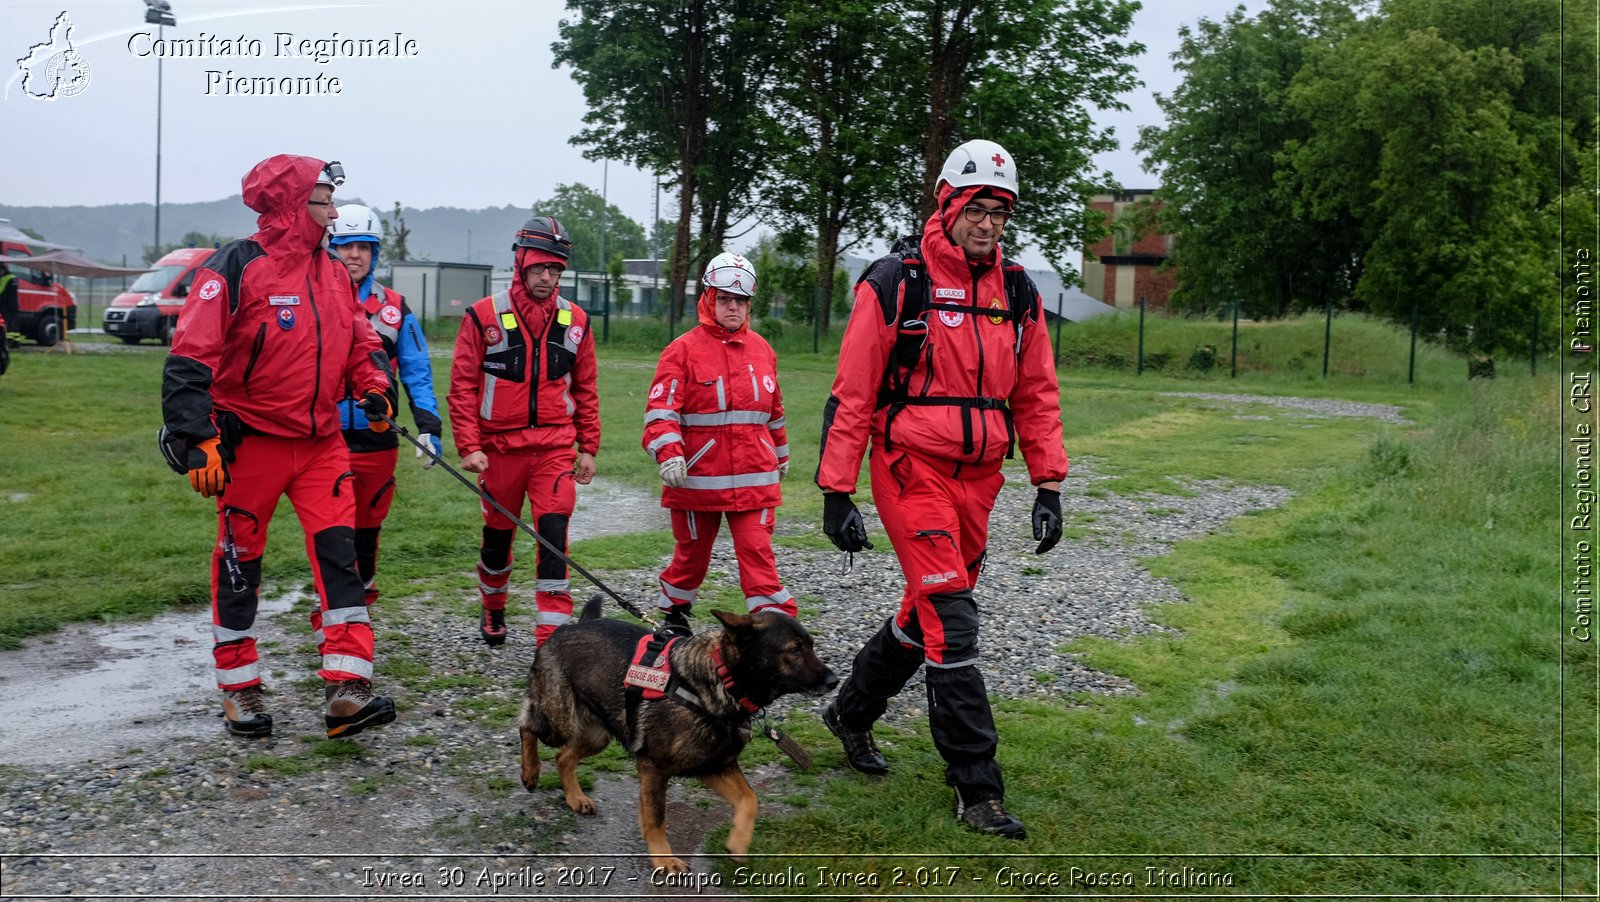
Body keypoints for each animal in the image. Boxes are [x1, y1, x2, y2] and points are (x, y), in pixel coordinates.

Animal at [518, 598, 838, 876]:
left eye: (811, 646)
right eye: (794, 650)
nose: (834, 681)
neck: (720, 680)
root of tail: (569, 627)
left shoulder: (713, 766)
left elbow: (750, 800)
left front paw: (737, 843)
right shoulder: (654, 768)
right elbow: (657, 818)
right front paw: (663, 858)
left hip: (598, 736)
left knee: (564, 756)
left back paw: (575, 797)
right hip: (559, 720)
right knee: (527, 725)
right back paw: (530, 772)